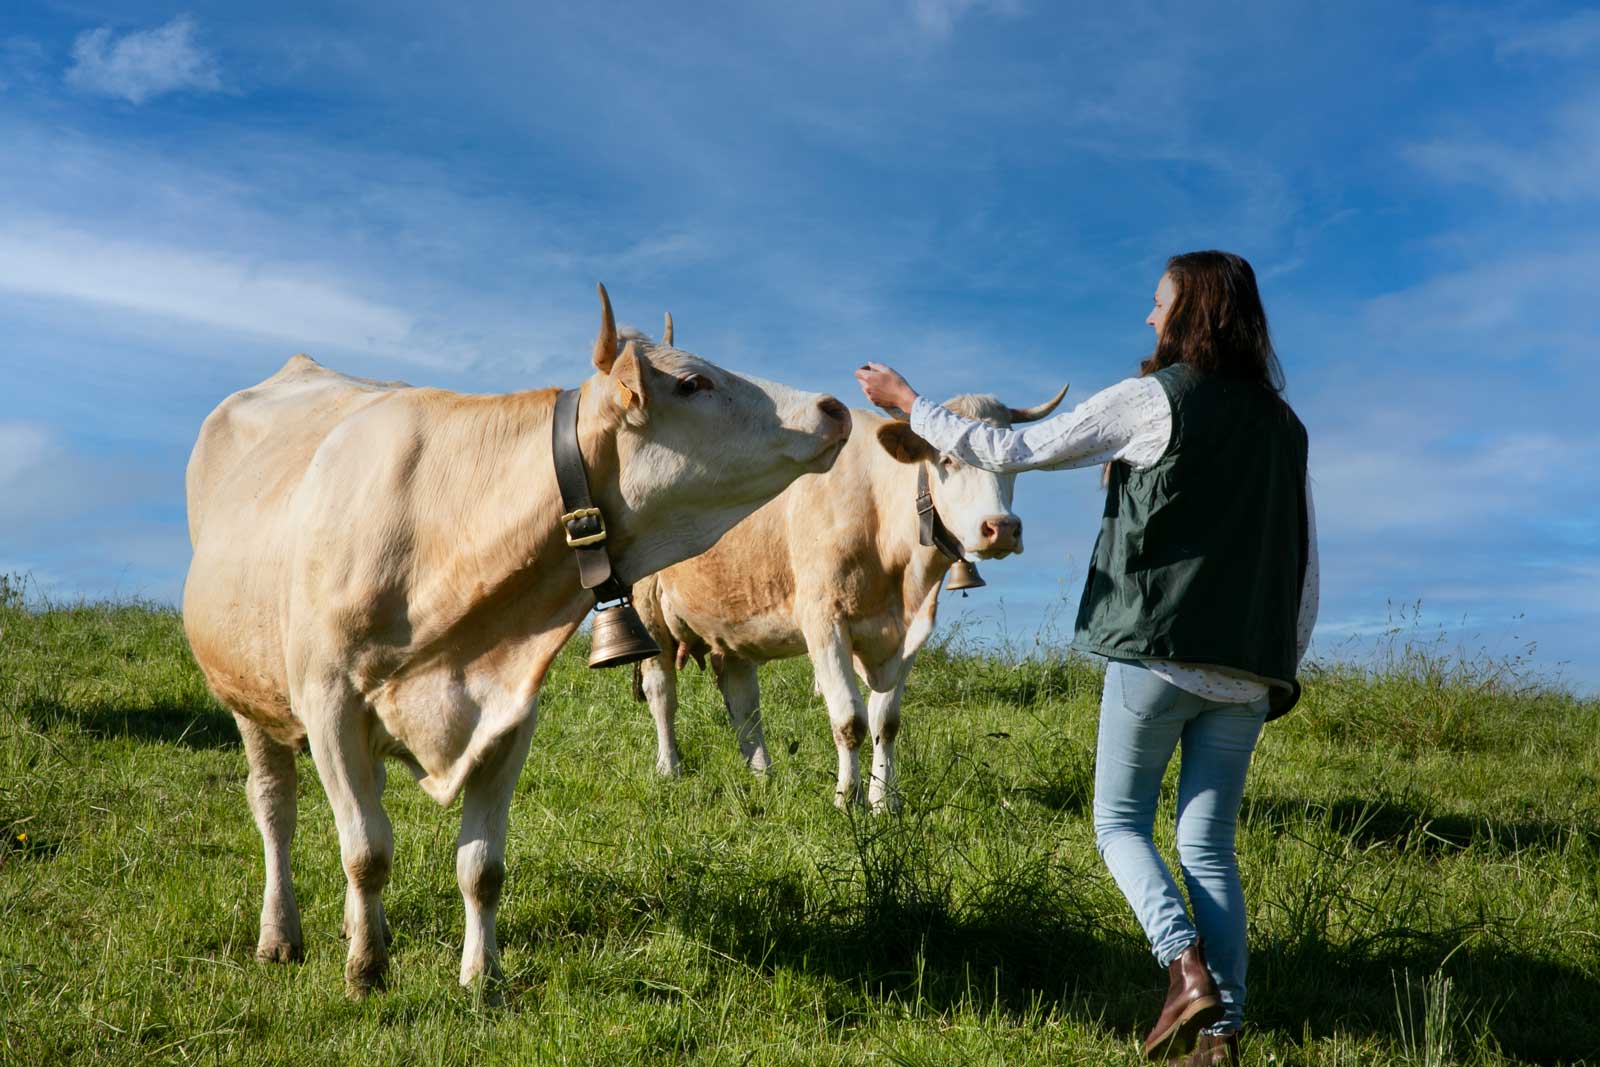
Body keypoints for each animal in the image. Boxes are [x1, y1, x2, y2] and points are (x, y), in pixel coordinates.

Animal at [181, 287, 851, 998]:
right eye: (694, 382)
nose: (833, 407)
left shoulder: (507, 712)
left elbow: (481, 867)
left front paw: (482, 977)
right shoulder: (330, 705)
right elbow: (365, 852)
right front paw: (366, 973)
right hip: (249, 695)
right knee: (275, 809)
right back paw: (281, 935)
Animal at [630, 383, 1068, 809]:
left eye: (1009, 466)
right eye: (946, 459)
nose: (1002, 528)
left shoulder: (908, 635)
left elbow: (885, 721)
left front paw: (884, 800)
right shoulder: (824, 622)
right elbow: (850, 720)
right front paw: (847, 798)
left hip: (733, 616)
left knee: (743, 699)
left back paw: (762, 774)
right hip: (647, 608)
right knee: (662, 692)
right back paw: (669, 767)